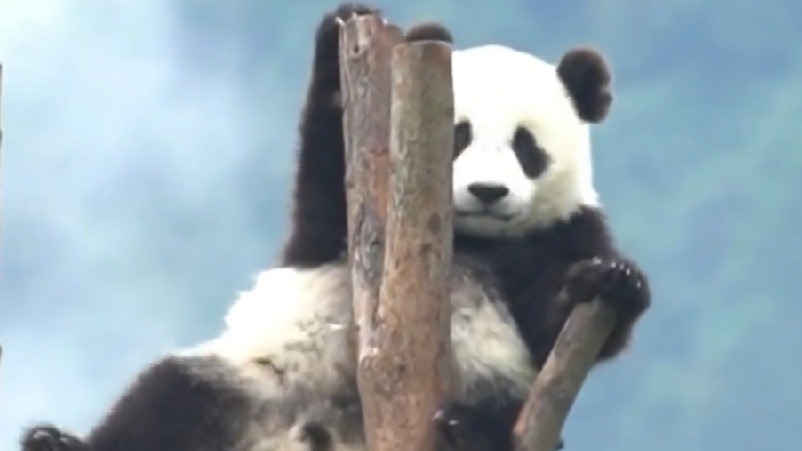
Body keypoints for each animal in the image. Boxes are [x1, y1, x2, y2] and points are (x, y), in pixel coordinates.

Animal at [20, 3, 651, 451]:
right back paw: (56, 443)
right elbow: (325, 178)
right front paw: (338, 32)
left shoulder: (563, 231)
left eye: (526, 147)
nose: (488, 193)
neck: (474, 238)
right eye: (459, 135)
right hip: (256, 390)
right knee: (167, 398)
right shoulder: (341, 229)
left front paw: (609, 281)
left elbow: (555, 330)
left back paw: (468, 430)